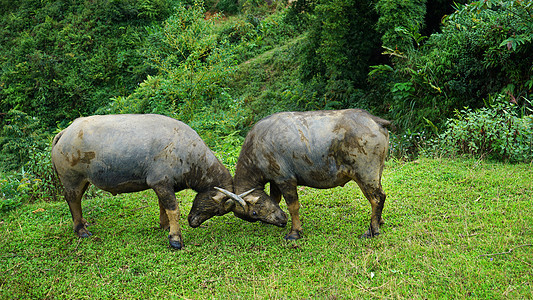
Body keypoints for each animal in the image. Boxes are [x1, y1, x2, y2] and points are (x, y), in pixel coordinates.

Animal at [51, 113, 247, 250]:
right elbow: (173, 210)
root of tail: (65, 132)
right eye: (217, 209)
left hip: (83, 180)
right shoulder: (161, 183)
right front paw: (175, 239)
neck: (188, 153)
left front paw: (165, 226)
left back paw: (83, 223)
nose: (193, 222)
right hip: (72, 179)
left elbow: (163, 207)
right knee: (73, 200)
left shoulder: (164, 186)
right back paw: (81, 230)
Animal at [224, 109, 390, 240]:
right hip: (377, 173)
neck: (258, 145)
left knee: (377, 198)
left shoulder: (285, 180)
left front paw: (294, 232)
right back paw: (379, 221)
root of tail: (375, 120)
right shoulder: (275, 181)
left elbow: (293, 206)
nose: (282, 221)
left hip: (365, 175)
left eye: (253, 212)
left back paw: (372, 230)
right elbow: (275, 199)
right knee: (379, 196)